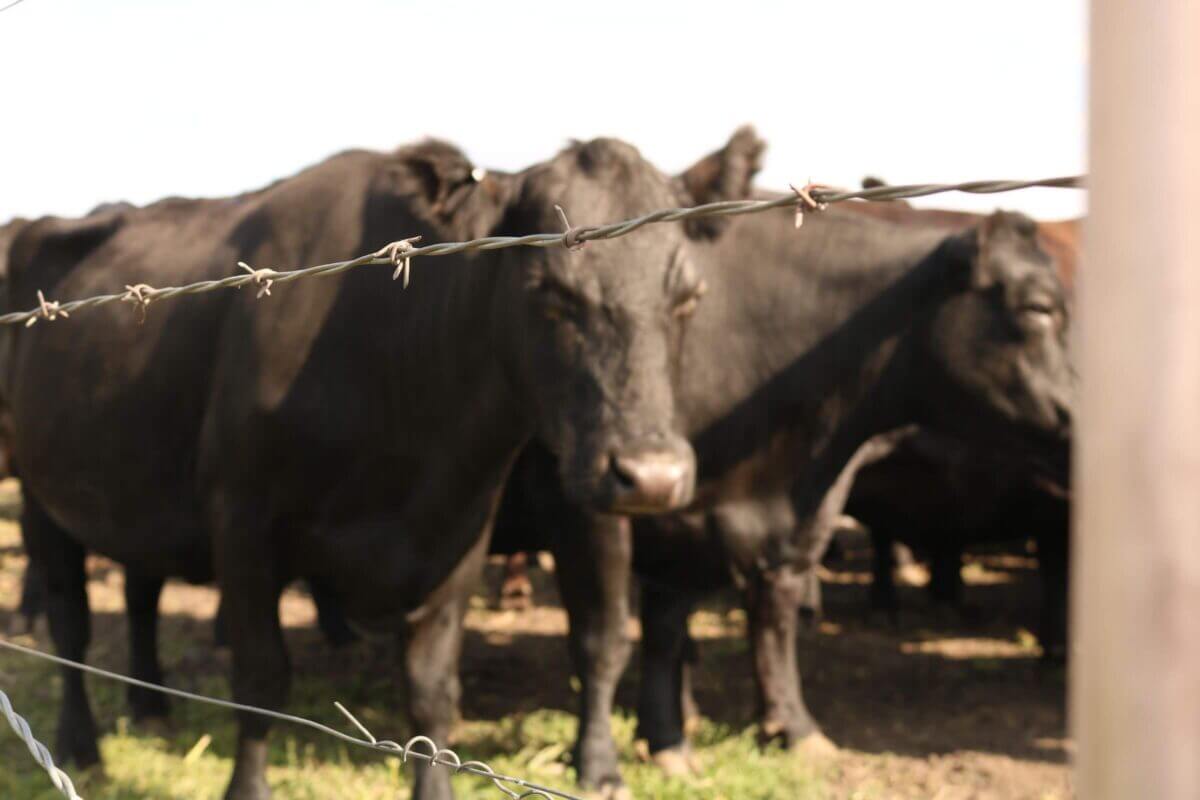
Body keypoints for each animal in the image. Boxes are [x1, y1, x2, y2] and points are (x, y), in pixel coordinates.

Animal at [5, 136, 711, 800]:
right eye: (551, 295)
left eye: (689, 298)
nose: (651, 476)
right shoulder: (241, 521)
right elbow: (260, 679)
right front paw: (247, 788)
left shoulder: (459, 539)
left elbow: (432, 692)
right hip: (41, 495)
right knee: (69, 625)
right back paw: (80, 746)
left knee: (140, 595)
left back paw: (151, 707)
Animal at [488, 129, 1074, 794]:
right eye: (1039, 308)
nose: (1080, 409)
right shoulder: (589, 501)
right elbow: (606, 635)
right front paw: (602, 764)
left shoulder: (699, 515)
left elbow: (716, 623)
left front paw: (707, 736)